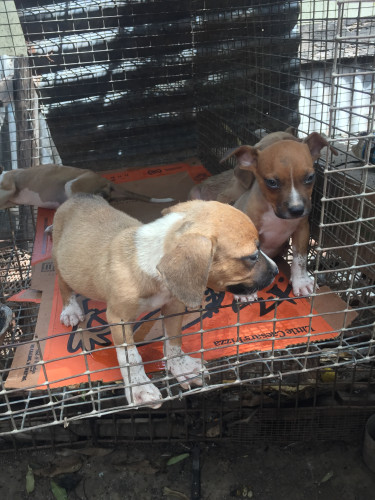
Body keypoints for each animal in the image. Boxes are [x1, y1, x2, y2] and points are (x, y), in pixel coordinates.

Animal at [51, 193, 278, 408]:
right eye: (252, 257)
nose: (276, 270)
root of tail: (80, 195)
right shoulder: (118, 319)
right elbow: (131, 357)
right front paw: (139, 387)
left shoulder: (173, 306)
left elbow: (174, 340)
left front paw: (181, 367)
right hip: (61, 261)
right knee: (63, 283)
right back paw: (70, 309)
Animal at [189, 129, 340, 296]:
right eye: (271, 182)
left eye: (310, 177)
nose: (297, 210)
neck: (274, 215)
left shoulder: (302, 228)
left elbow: (300, 258)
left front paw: (301, 282)